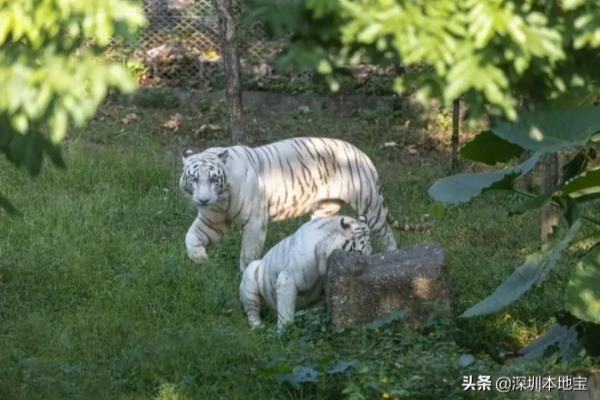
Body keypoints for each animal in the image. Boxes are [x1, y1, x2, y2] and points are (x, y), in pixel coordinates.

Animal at [180, 135, 398, 272]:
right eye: (194, 179)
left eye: (213, 179)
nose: (203, 200)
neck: (221, 199)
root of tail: (362, 154)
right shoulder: (213, 221)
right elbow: (190, 237)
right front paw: (202, 260)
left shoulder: (254, 223)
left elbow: (248, 253)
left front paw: (244, 276)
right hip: (325, 208)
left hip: (369, 204)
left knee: (387, 233)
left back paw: (392, 256)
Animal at [239, 216, 370, 332]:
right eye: (358, 254)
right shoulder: (287, 280)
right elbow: (286, 313)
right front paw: (284, 333)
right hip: (251, 276)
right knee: (252, 312)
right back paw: (259, 326)